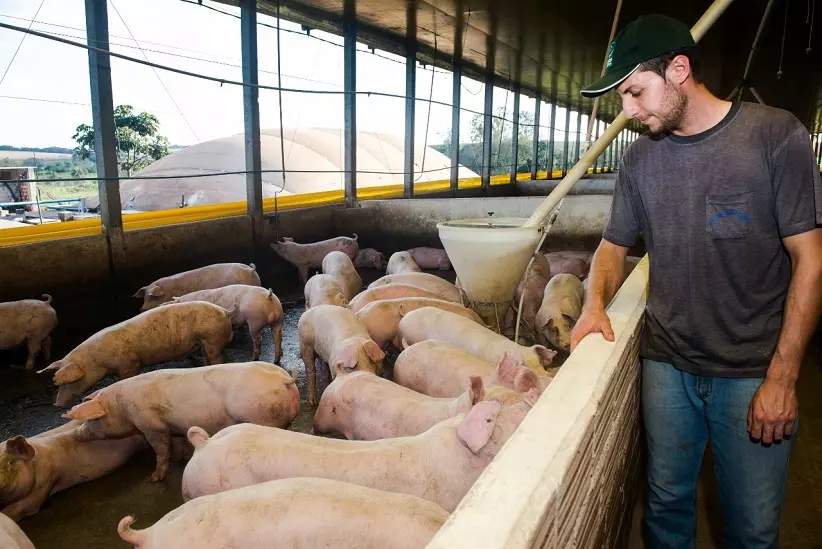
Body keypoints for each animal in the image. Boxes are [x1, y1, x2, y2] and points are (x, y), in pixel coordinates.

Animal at [38, 301, 234, 407]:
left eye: (68, 382)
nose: (56, 403)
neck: (97, 361)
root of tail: (225, 311)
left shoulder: (129, 363)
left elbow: (129, 376)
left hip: (211, 337)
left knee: (216, 357)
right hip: (209, 340)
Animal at [61, 362, 299, 482]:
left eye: (93, 420)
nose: (76, 434)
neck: (122, 407)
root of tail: (284, 379)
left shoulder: (151, 425)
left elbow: (160, 449)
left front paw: (155, 478)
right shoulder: (171, 424)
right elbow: (175, 442)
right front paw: (179, 459)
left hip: (262, 414)